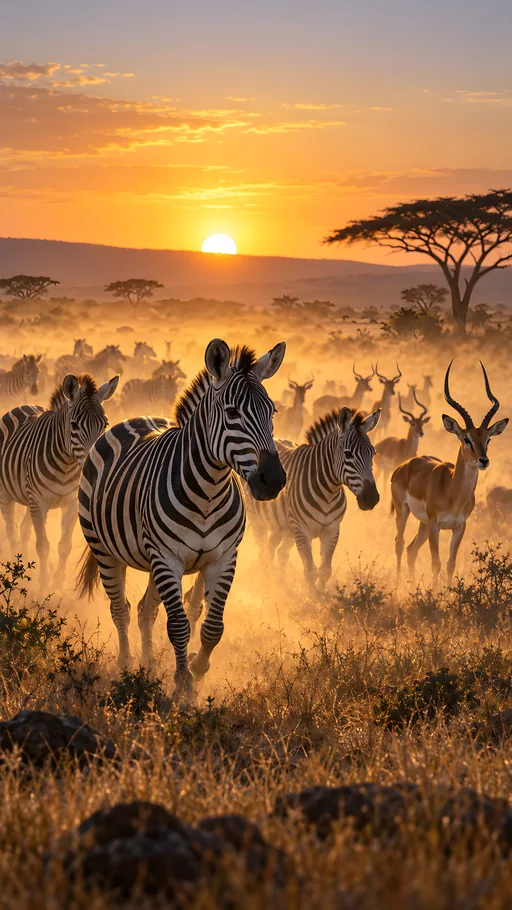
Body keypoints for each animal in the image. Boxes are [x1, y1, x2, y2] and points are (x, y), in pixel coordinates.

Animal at [0, 373, 119, 588]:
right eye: (74, 425)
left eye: (105, 424)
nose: (94, 464)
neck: (66, 465)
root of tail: (25, 405)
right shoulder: (39, 502)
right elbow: (43, 545)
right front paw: (43, 584)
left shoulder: (70, 503)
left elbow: (64, 546)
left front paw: (58, 582)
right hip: (7, 494)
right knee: (11, 530)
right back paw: (15, 564)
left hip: (29, 500)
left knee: (24, 529)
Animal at [77, 338, 286, 699]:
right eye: (232, 413)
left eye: (271, 412)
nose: (272, 479)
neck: (208, 491)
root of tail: (137, 417)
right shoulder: (167, 557)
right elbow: (177, 625)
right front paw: (183, 684)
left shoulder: (223, 557)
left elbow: (212, 625)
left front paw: (198, 669)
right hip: (106, 551)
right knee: (121, 610)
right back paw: (127, 666)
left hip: (151, 560)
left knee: (145, 609)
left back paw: (147, 665)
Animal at [247, 406, 381, 591]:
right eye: (348, 454)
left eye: (373, 453)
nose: (372, 498)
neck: (328, 492)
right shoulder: (302, 531)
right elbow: (310, 571)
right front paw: (312, 598)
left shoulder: (332, 530)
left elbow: (324, 570)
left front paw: (321, 595)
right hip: (258, 520)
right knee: (263, 552)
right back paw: (268, 582)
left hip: (283, 527)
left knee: (277, 552)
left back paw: (280, 583)